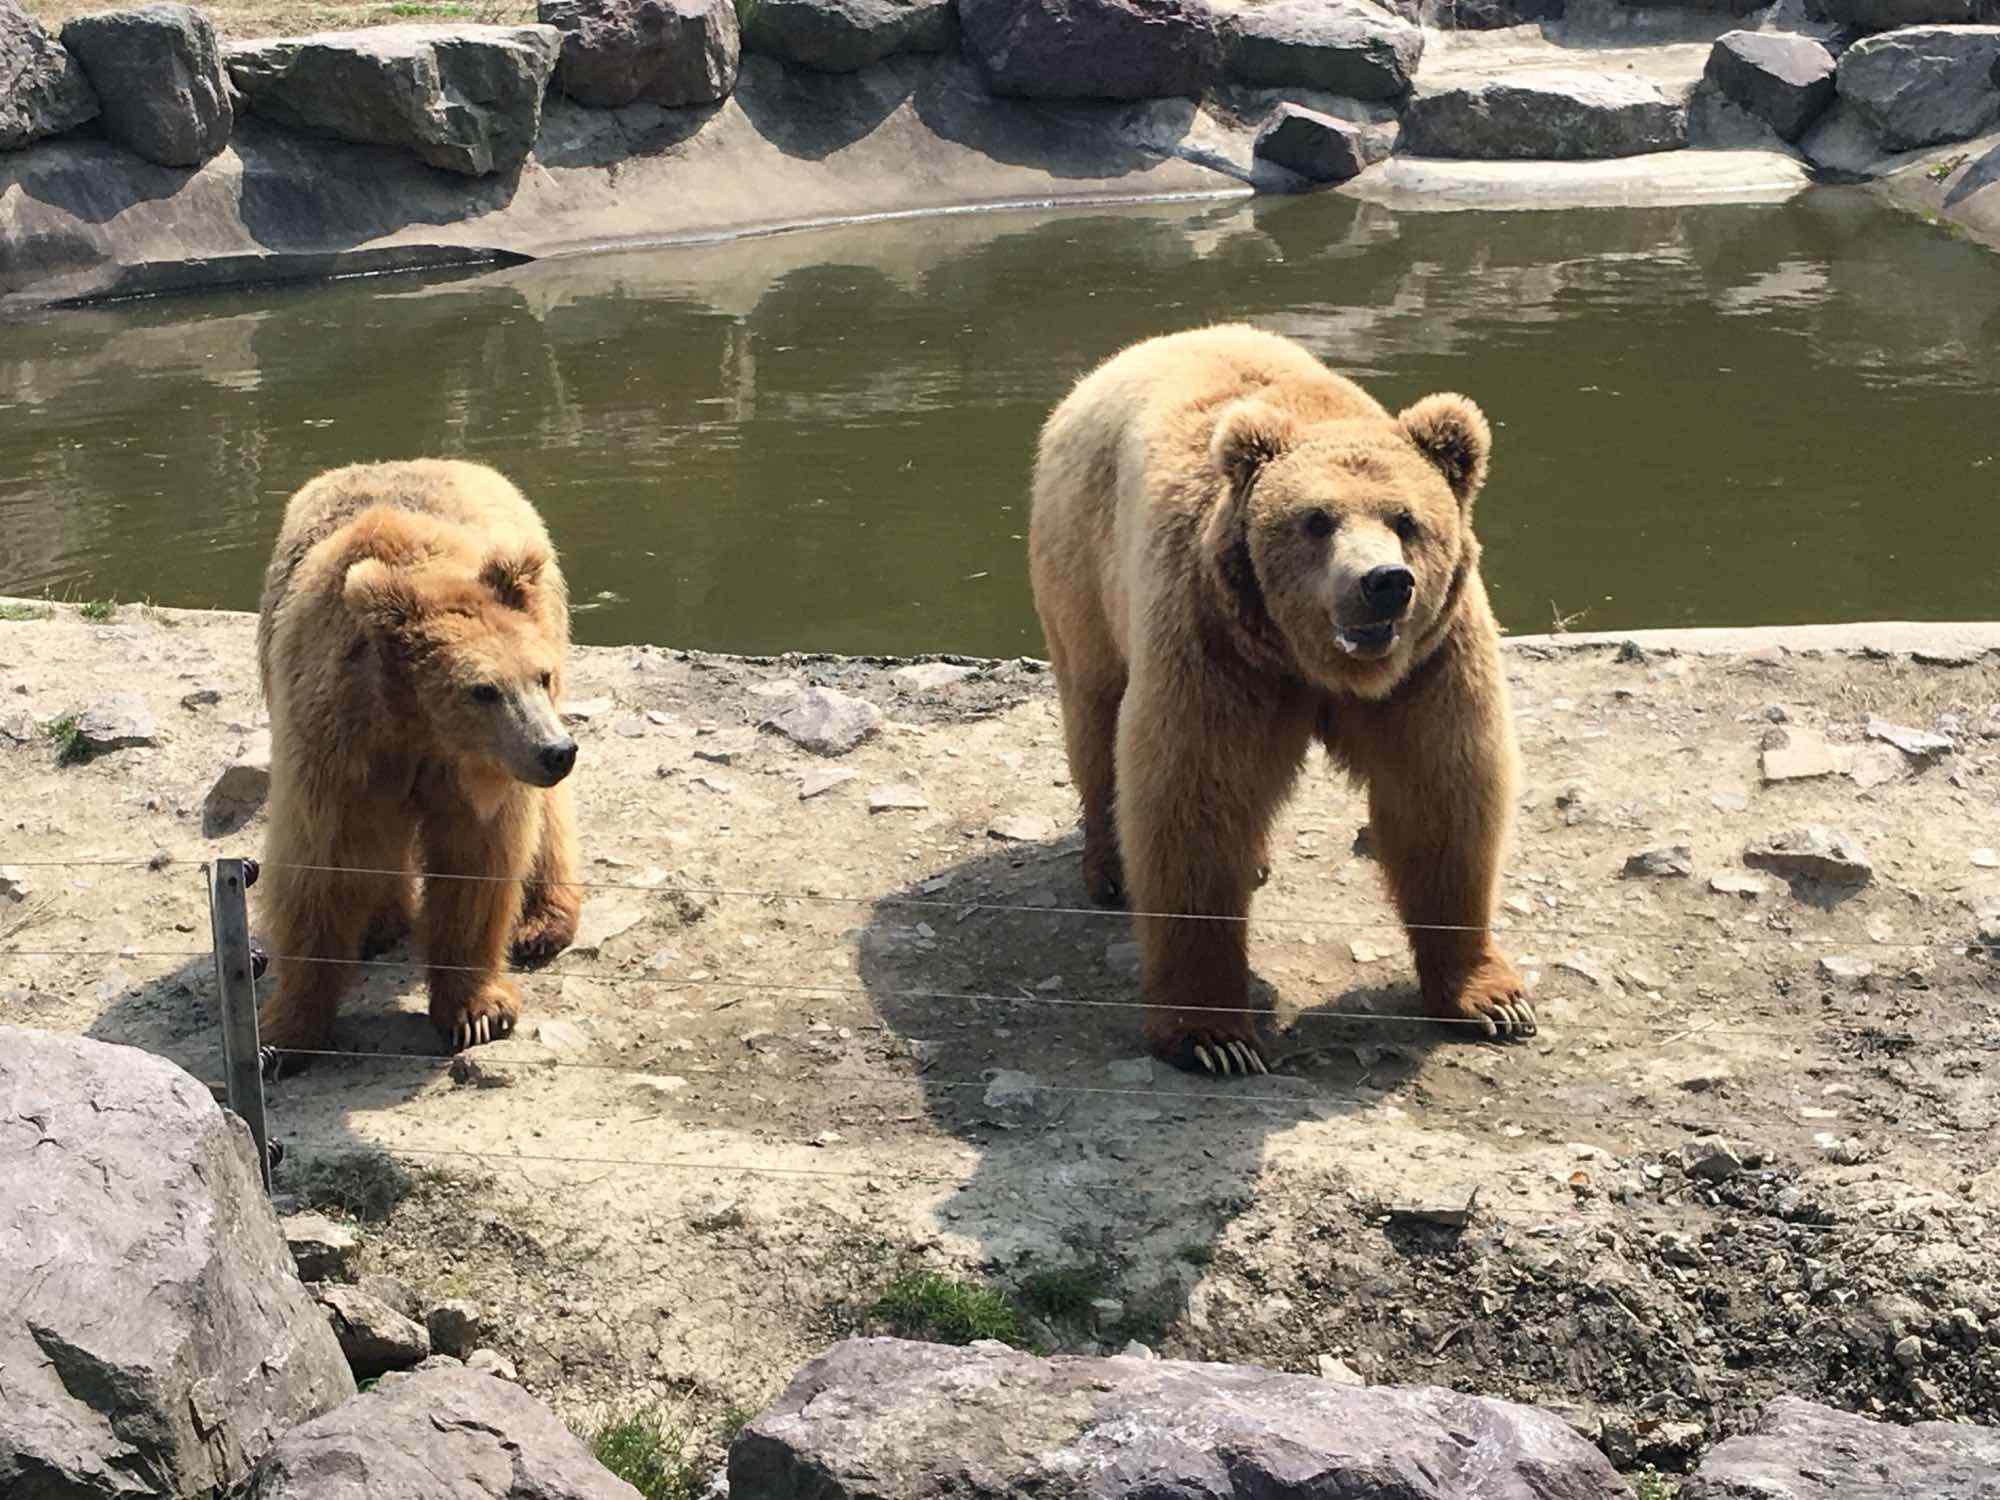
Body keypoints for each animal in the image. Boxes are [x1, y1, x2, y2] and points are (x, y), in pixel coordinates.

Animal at [250, 464, 580, 1064]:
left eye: (538, 676)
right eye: (483, 690)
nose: (556, 751)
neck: (420, 728)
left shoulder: (478, 778)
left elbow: (475, 864)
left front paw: (477, 1011)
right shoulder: (336, 752)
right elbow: (321, 869)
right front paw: (285, 1033)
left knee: (548, 818)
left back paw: (542, 923)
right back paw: (379, 925)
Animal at [1032, 326, 1528, 1080]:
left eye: (1407, 519)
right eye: (1316, 520)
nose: (1383, 582)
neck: (1318, 666)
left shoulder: (1429, 664)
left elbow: (1444, 798)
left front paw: (1492, 1000)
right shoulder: (1214, 644)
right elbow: (1193, 803)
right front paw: (1214, 1037)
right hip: (1084, 574)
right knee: (1095, 720)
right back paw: (1109, 868)